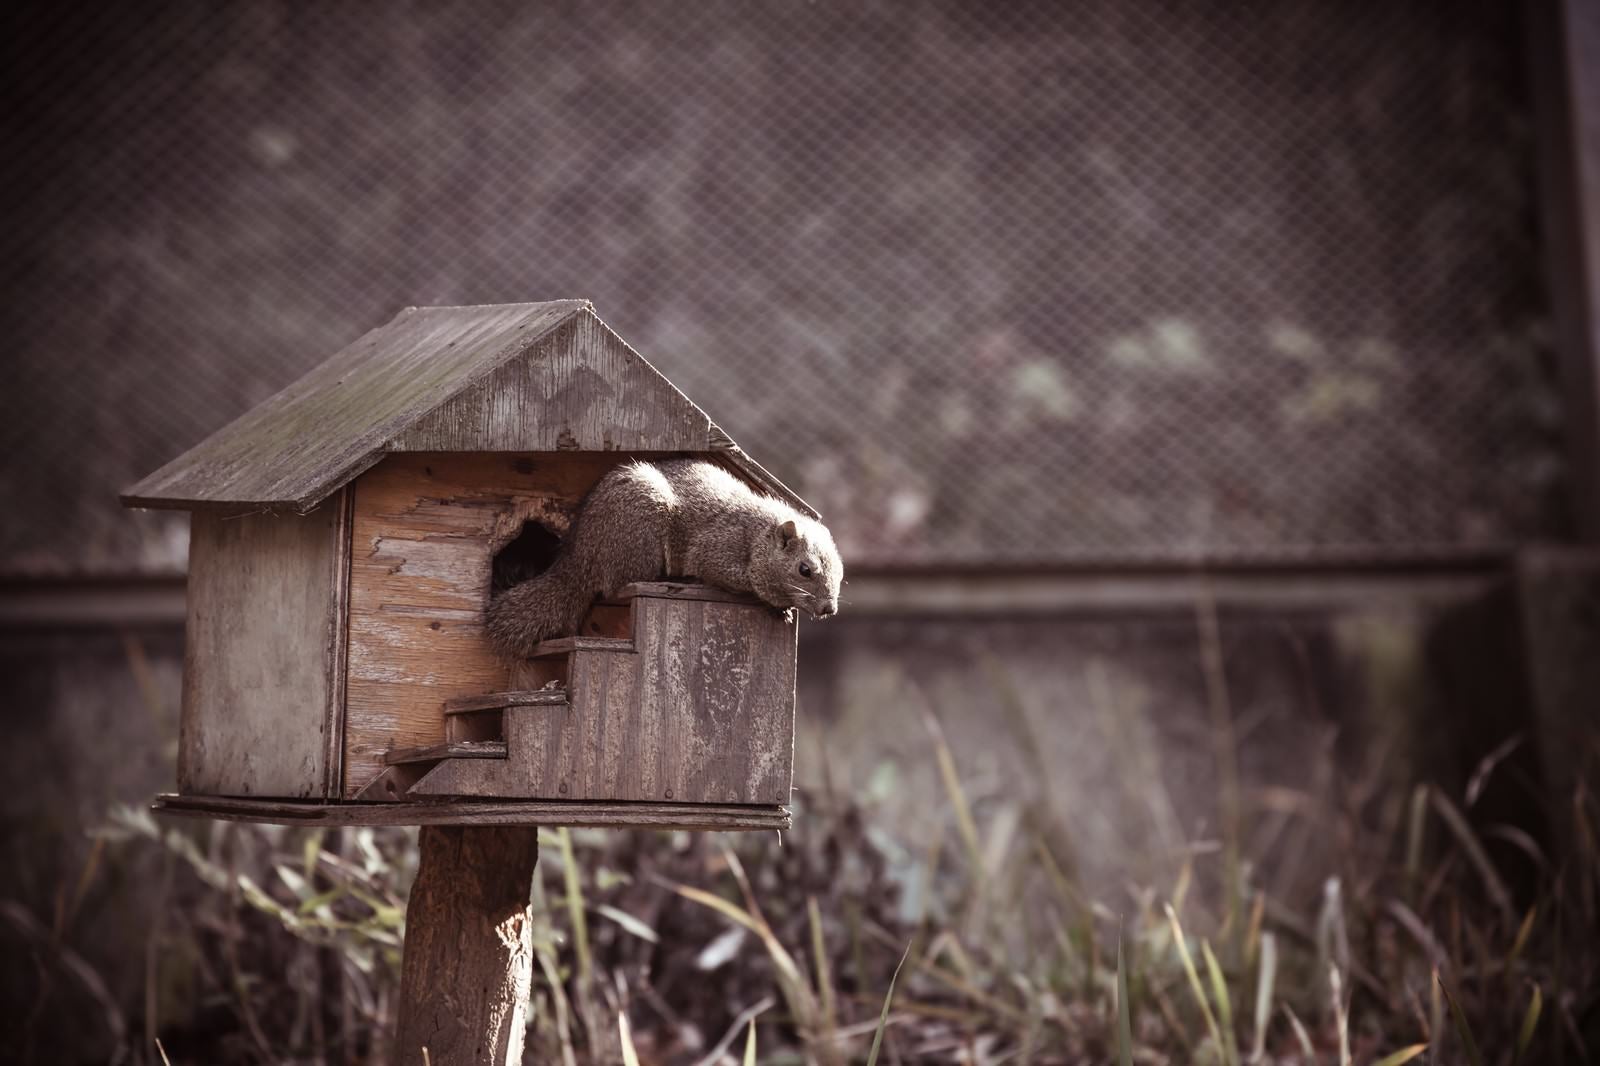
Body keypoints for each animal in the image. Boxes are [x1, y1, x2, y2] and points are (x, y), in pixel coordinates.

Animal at [486, 451, 844, 653]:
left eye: (841, 576)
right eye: (804, 569)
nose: (829, 608)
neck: (755, 537)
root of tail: (580, 555)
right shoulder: (715, 550)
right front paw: (774, 605)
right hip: (639, 531)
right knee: (620, 582)